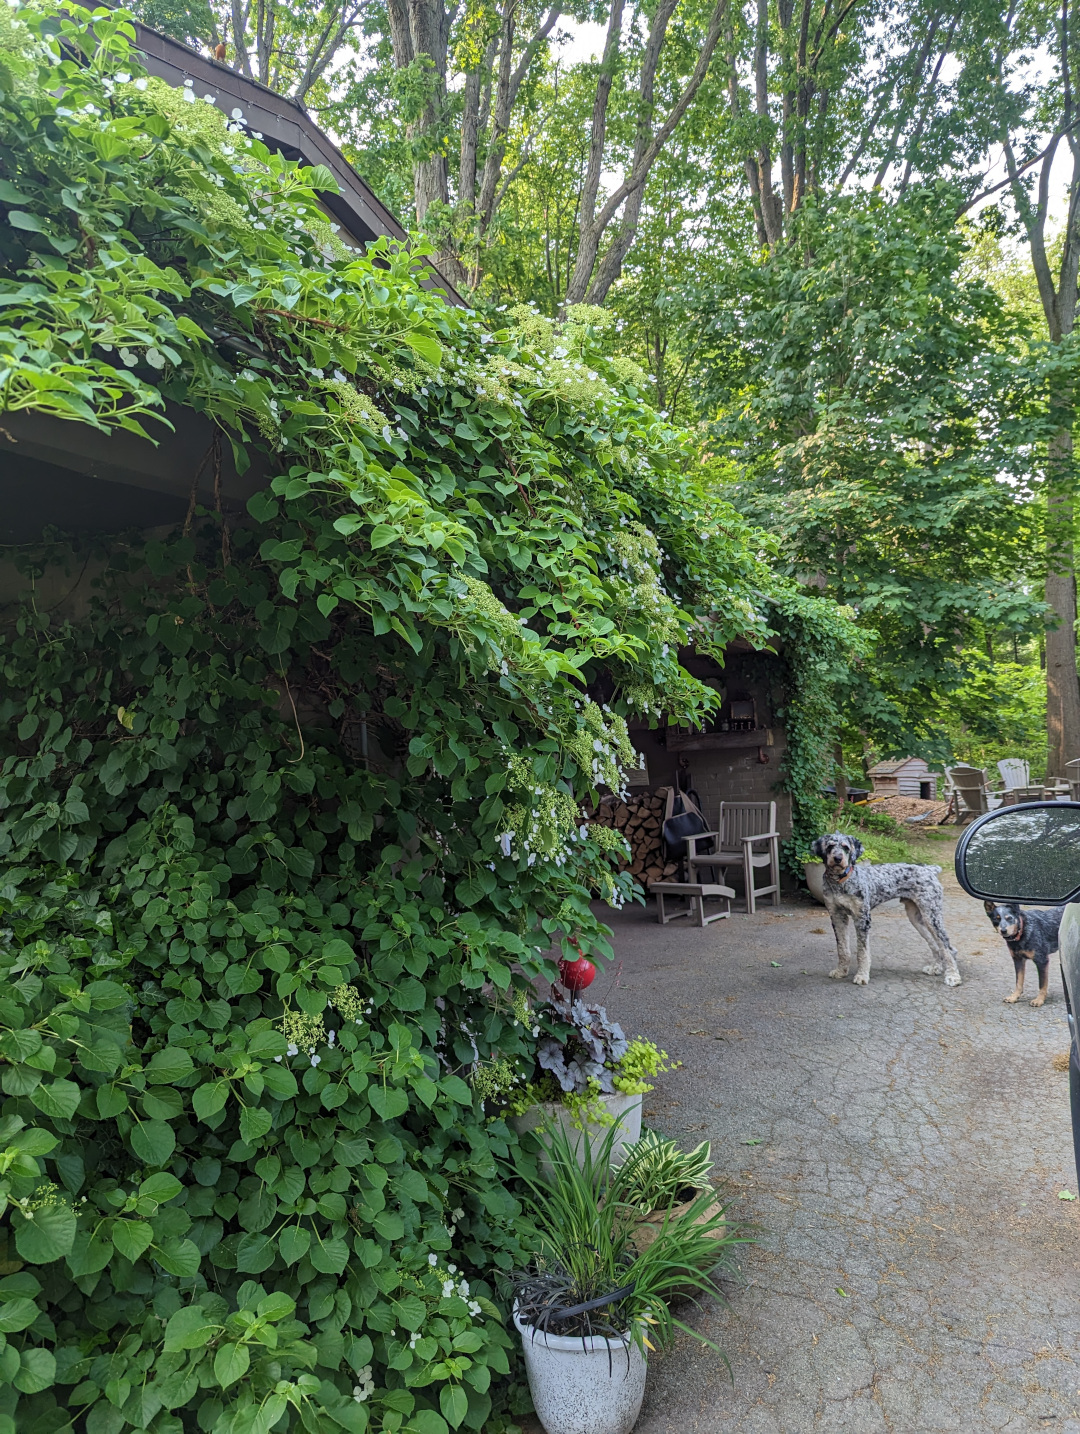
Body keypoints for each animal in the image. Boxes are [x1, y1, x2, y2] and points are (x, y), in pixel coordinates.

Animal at [808, 831, 958, 986]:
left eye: (846, 847)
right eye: (830, 846)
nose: (838, 858)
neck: (840, 882)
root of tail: (929, 869)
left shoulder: (862, 919)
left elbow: (862, 952)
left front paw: (862, 975)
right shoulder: (837, 917)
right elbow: (842, 948)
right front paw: (841, 971)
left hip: (932, 917)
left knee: (947, 946)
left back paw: (953, 976)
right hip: (917, 918)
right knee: (937, 945)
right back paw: (936, 968)